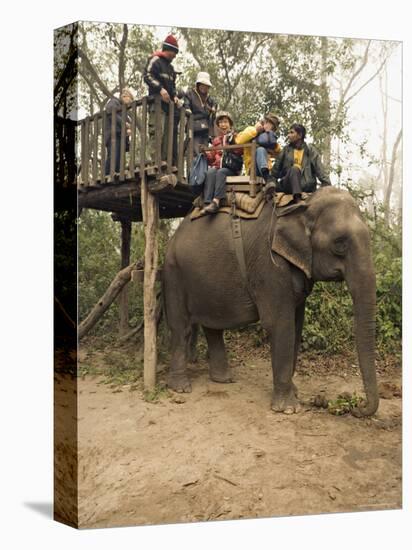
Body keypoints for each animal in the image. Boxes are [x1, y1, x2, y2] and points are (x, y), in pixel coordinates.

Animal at [162, 187, 380, 418]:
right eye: (339, 244)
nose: (355, 407)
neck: (301, 206)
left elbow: (296, 325)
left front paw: (294, 393)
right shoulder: (270, 265)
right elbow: (280, 324)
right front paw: (289, 409)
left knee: (213, 326)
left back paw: (224, 380)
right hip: (173, 272)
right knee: (181, 327)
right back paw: (181, 388)